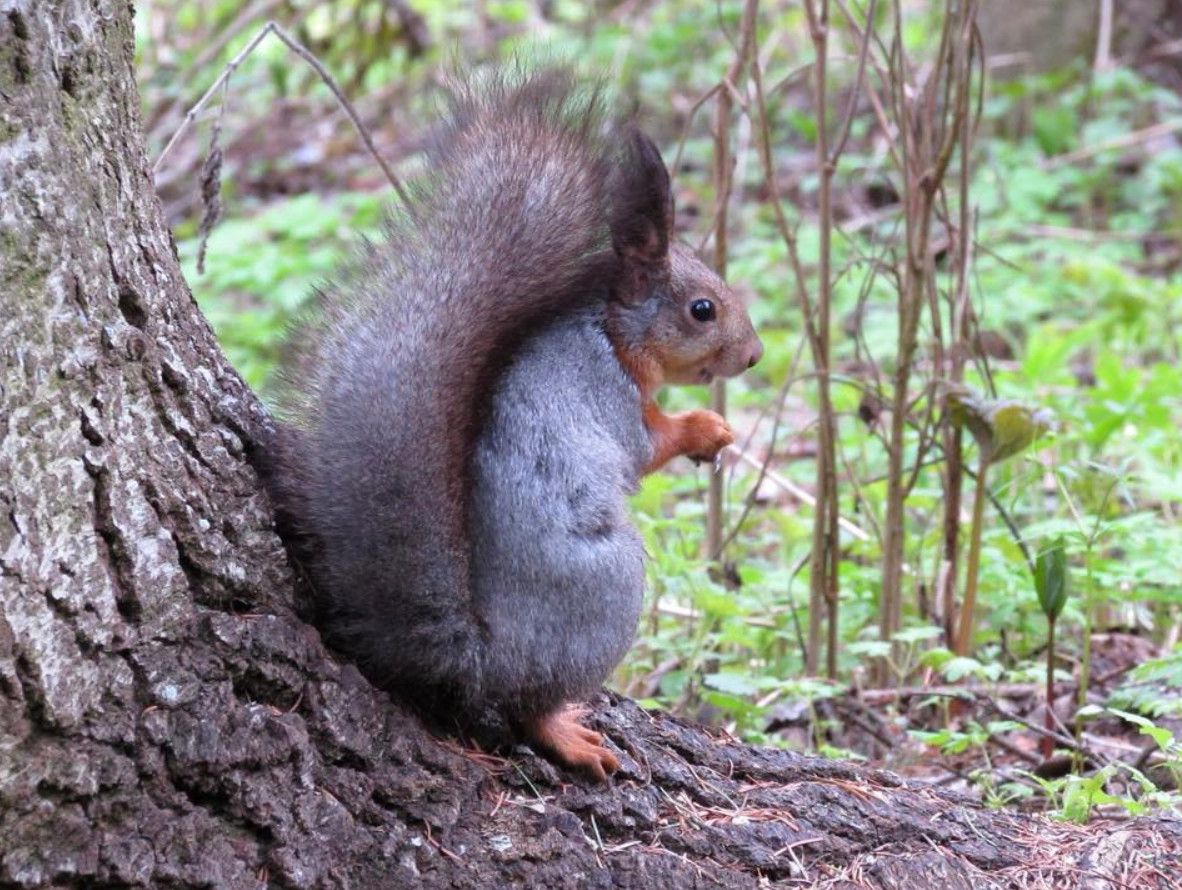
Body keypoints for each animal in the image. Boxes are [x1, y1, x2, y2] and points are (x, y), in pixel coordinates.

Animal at [264, 67, 762, 781]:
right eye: (703, 310)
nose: (753, 357)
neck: (614, 335)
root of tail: (482, 655)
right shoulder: (608, 395)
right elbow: (649, 445)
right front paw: (707, 428)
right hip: (610, 587)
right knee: (530, 707)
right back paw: (569, 736)